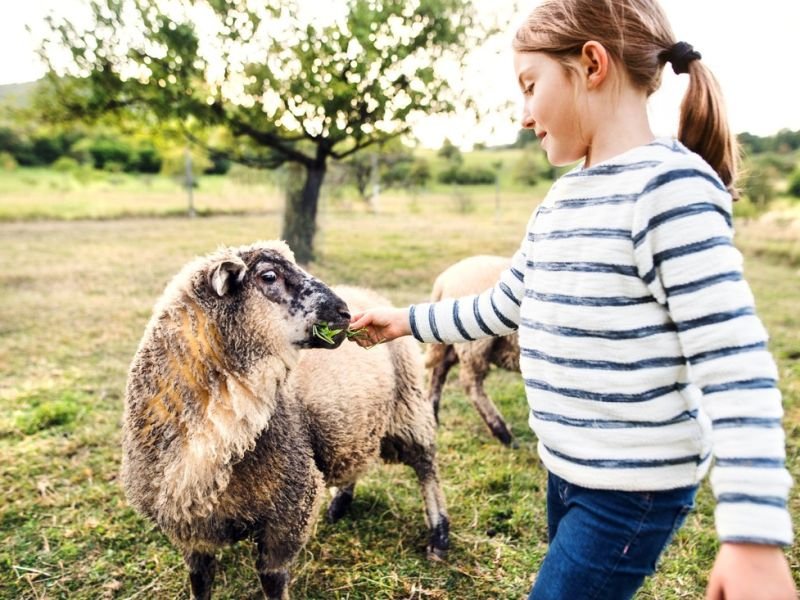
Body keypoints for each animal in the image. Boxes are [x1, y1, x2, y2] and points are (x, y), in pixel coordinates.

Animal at [123, 241, 450, 596]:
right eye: (269, 276)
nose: (345, 313)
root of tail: (365, 292)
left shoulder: (289, 509)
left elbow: (272, 579)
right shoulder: (189, 528)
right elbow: (199, 581)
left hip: (409, 408)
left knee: (426, 468)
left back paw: (439, 536)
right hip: (353, 424)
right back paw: (339, 505)